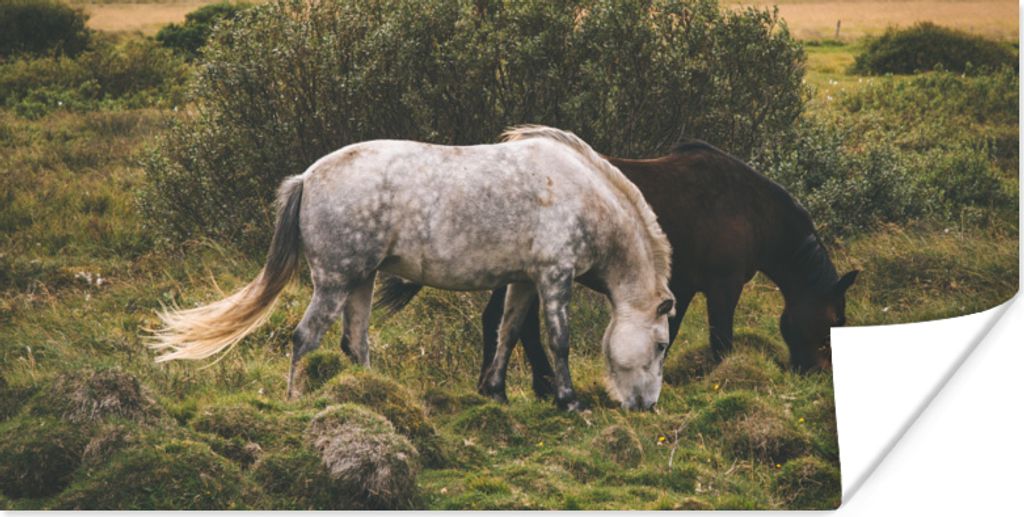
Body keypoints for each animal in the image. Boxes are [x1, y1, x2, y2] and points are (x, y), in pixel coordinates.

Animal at [148, 125, 675, 411]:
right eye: (661, 344)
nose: (648, 405)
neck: (580, 194)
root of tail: (308, 176)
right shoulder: (553, 277)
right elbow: (558, 341)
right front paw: (568, 400)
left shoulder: (525, 281)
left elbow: (507, 332)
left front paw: (495, 391)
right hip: (335, 281)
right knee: (305, 338)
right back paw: (296, 398)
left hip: (361, 281)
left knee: (355, 342)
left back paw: (373, 396)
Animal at [375, 140, 859, 399]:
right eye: (833, 320)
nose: (819, 373)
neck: (751, 210)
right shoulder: (723, 287)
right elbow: (721, 339)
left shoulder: (680, 286)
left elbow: (669, 334)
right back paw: (534, 384)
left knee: (504, 321)